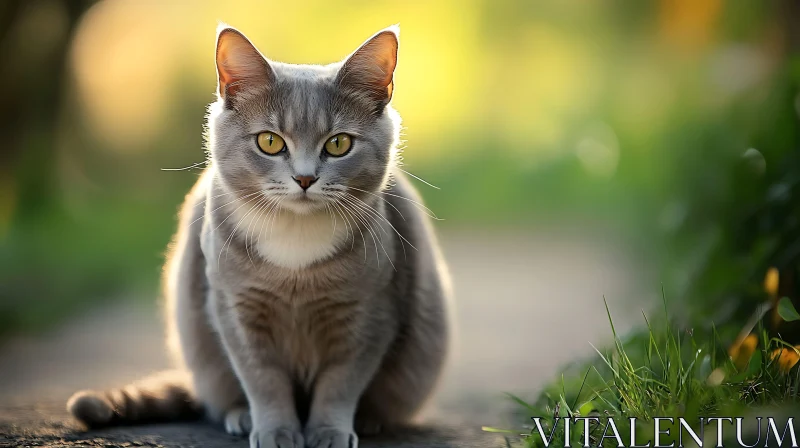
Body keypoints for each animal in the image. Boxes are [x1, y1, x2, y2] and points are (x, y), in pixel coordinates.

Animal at [65, 24, 454, 448]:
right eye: (270, 142)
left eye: (339, 144)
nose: (305, 178)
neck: (295, 244)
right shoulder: (234, 308)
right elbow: (262, 379)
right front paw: (276, 430)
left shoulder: (371, 311)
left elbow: (341, 382)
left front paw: (329, 432)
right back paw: (241, 416)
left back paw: (369, 421)